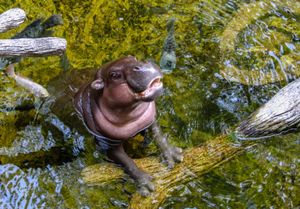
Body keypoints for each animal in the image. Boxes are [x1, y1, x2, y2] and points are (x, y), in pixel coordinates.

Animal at [75, 56, 183, 196]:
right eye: (114, 75)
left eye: (133, 57)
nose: (144, 64)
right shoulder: (108, 144)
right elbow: (127, 162)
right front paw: (145, 183)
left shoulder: (151, 120)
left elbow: (159, 135)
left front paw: (173, 154)